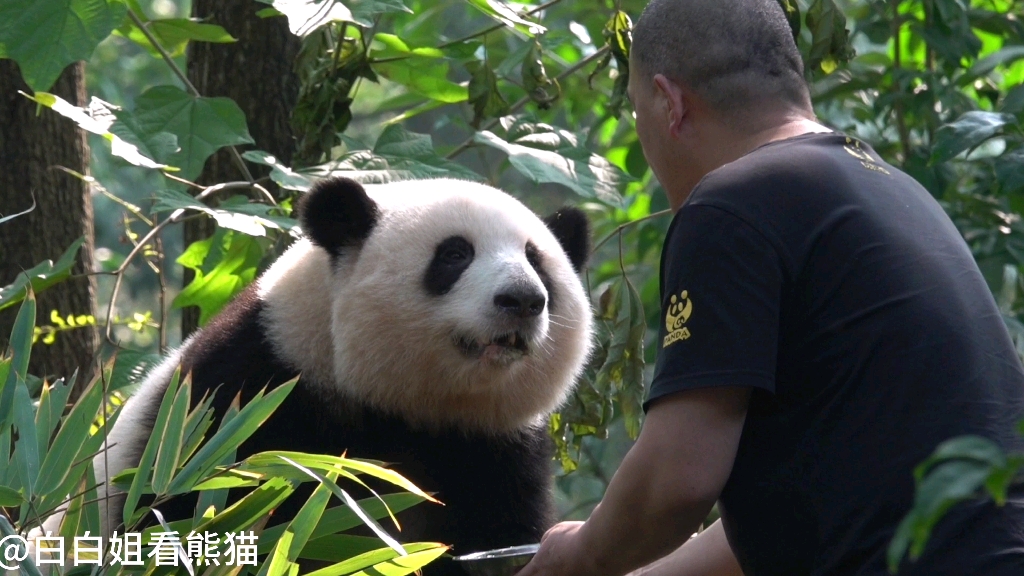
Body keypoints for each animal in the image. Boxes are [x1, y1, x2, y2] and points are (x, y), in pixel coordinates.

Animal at [96, 177, 598, 569]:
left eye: (536, 261)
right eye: (456, 254)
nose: (523, 300)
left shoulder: (496, 448)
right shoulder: (241, 396)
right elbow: (185, 509)